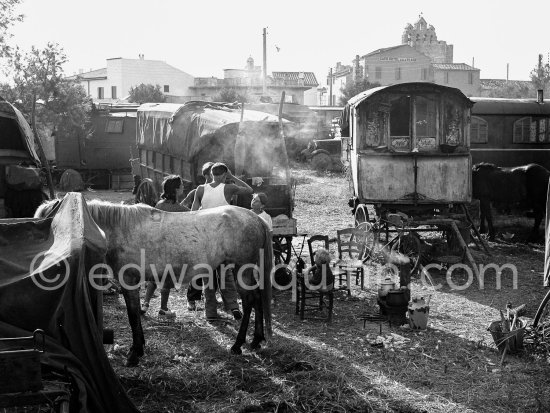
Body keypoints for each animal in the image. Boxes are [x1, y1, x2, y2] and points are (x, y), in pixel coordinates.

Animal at [36, 198, 274, 366]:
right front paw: (138, 348)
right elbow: (135, 315)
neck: (119, 229)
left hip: (242, 268)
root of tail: (256, 219)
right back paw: (256, 340)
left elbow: (133, 315)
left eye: (51, 227)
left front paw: (134, 354)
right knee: (257, 298)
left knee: (250, 300)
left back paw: (238, 345)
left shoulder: (129, 281)